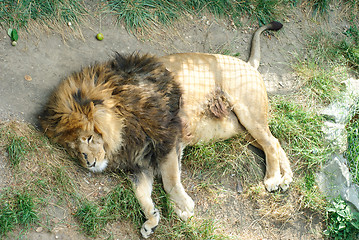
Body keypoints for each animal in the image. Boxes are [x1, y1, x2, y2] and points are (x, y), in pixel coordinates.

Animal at [40, 21, 292, 238]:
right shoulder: (142, 160)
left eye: (89, 138)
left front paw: (183, 205)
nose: (89, 163)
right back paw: (286, 178)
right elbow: (141, 192)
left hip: (248, 114)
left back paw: (272, 178)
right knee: (276, 142)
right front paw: (153, 219)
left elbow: (170, 179)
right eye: (73, 148)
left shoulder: (167, 139)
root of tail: (247, 64)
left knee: (271, 143)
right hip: (242, 129)